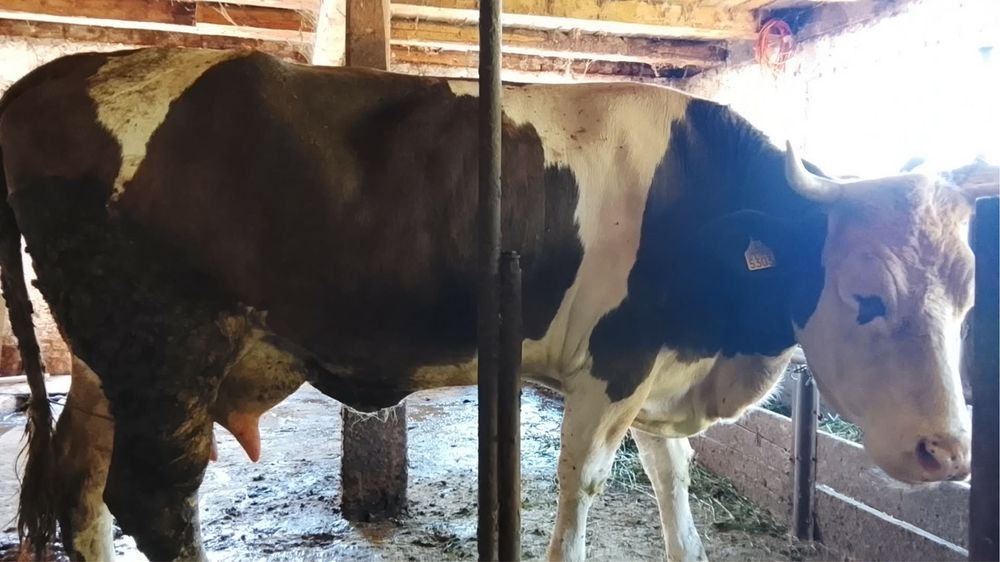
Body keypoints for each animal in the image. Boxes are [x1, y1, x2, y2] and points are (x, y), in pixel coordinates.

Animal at [0, 47, 991, 562]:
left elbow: (674, 488)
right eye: (865, 295)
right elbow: (580, 487)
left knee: (83, 484)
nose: (947, 453)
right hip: (167, 348)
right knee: (152, 497)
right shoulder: (613, 365)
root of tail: (60, 74)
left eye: (968, 301)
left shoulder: (661, 378)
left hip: (109, 362)